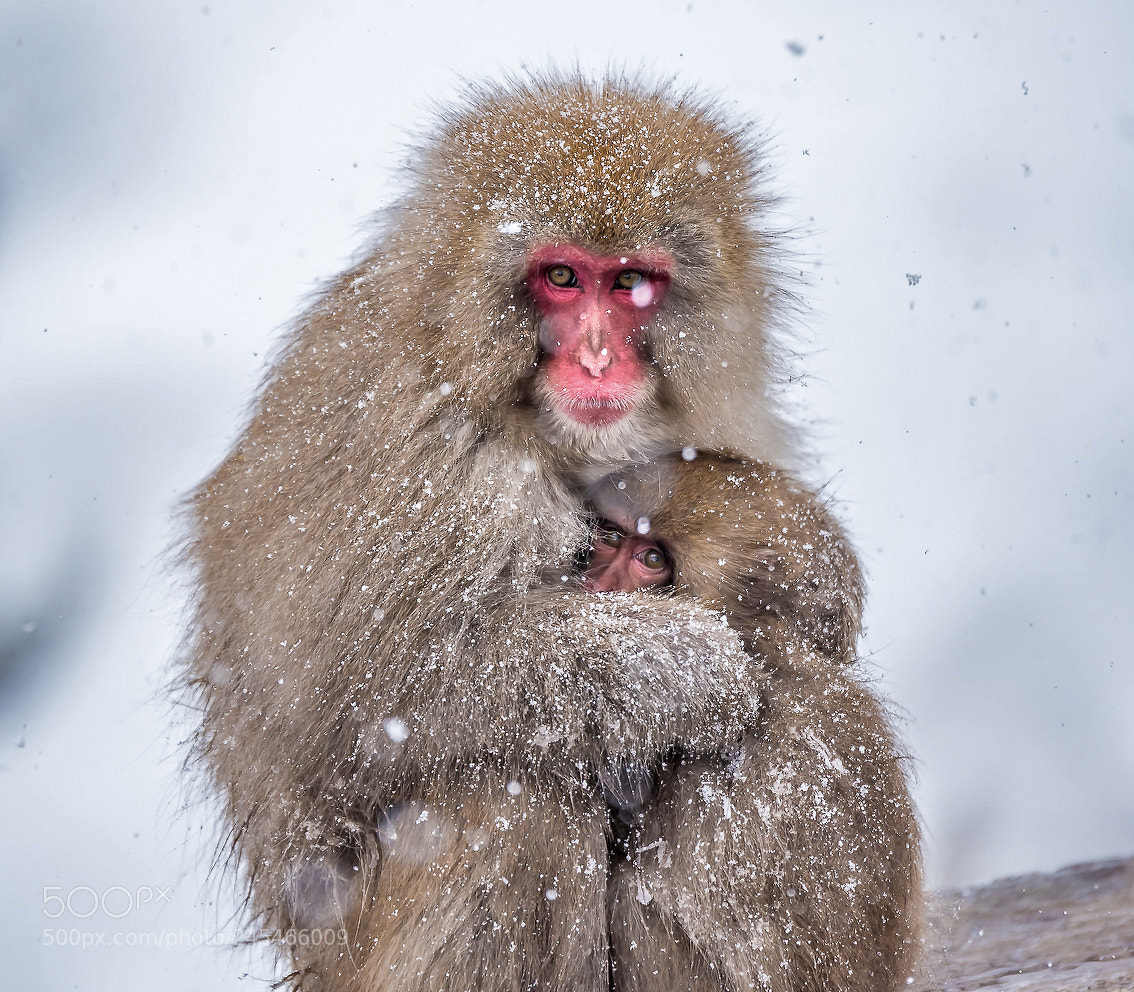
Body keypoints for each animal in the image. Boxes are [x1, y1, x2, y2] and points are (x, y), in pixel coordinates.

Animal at [178, 72, 921, 992]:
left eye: (631, 282)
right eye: (562, 277)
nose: (598, 359)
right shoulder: (434, 467)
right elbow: (368, 699)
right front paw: (691, 669)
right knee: (511, 788)